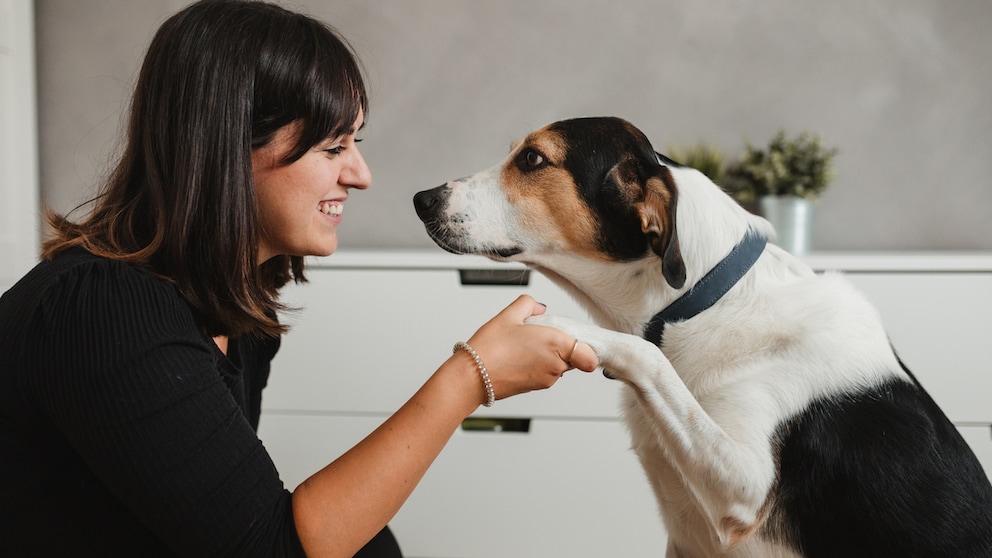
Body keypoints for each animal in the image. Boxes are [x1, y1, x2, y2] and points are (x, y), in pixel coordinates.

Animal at [412, 118, 992, 558]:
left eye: (533, 159)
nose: (421, 198)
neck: (702, 304)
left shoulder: (745, 486)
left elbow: (648, 356)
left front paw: (563, 328)